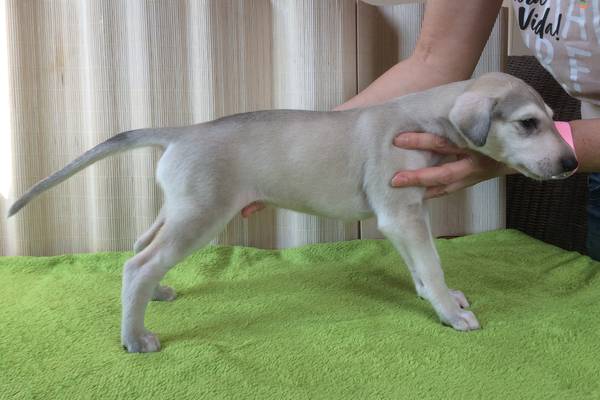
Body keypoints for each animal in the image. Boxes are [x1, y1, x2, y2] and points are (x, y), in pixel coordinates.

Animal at [8, 72, 577, 352]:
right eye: (528, 123)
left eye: (553, 119)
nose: (572, 163)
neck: (426, 115)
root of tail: (184, 132)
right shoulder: (402, 213)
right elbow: (432, 266)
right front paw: (450, 312)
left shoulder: (409, 215)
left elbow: (422, 266)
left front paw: (437, 296)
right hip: (199, 217)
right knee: (136, 265)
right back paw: (135, 338)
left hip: (179, 208)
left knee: (140, 248)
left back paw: (159, 294)